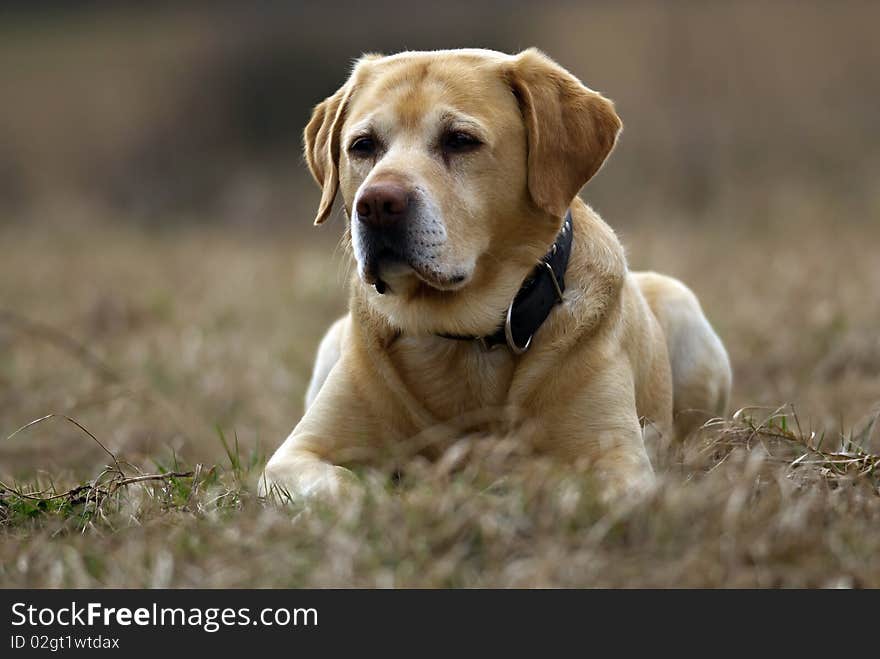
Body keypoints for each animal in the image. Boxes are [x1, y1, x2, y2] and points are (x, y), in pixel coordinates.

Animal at [262, 50, 728, 506]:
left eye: (460, 140)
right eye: (362, 146)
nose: (376, 204)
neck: (462, 336)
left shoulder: (618, 461)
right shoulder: (295, 455)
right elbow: (343, 486)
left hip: (684, 311)